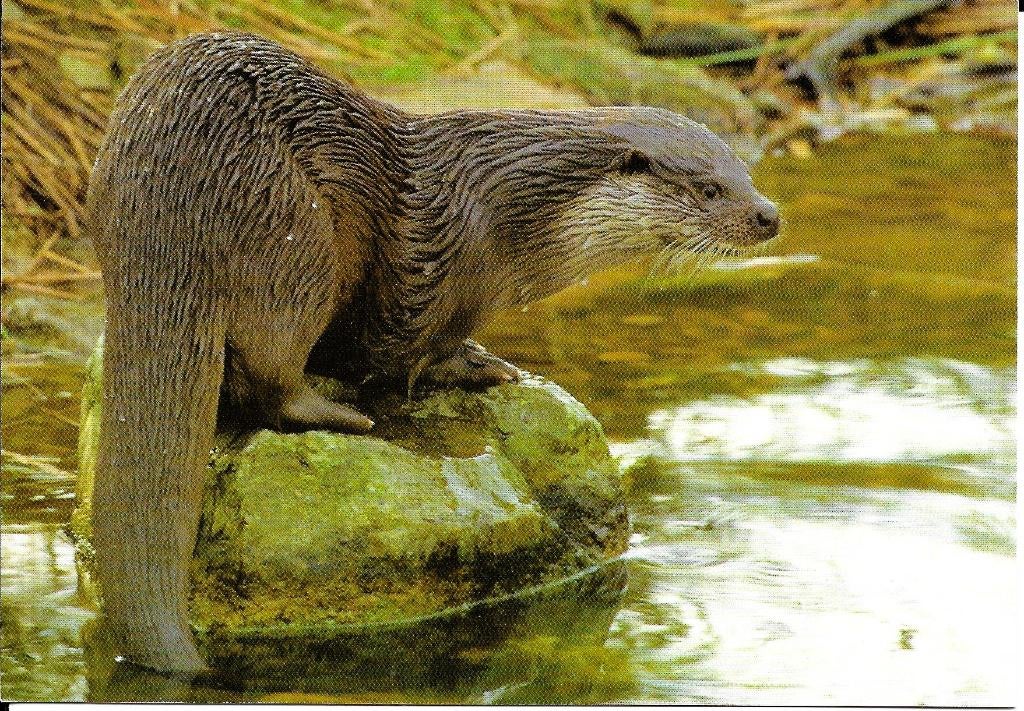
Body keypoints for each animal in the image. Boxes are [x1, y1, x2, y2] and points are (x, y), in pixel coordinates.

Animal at [86, 31, 779, 674]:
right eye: (710, 190)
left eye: (746, 174)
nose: (768, 214)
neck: (518, 209)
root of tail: (169, 200)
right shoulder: (443, 266)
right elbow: (407, 345)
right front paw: (480, 367)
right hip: (294, 227)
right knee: (270, 369)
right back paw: (343, 416)